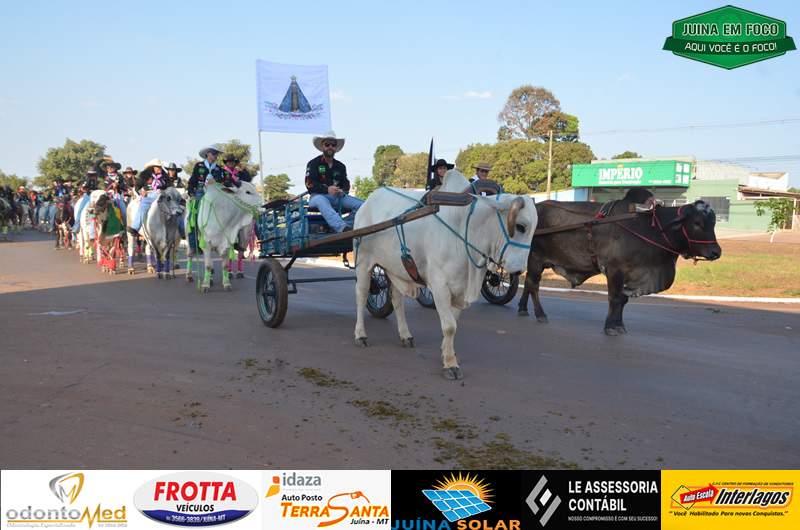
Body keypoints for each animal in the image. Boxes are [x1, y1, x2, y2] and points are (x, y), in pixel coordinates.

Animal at [353, 170, 537, 380]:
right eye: (521, 226)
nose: (519, 269)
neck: (464, 229)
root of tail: (366, 203)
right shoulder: (440, 286)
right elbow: (449, 326)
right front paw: (450, 364)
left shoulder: (459, 290)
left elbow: (453, 324)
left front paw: (446, 353)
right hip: (364, 263)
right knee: (361, 295)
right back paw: (360, 335)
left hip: (395, 269)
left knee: (396, 300)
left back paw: (405, 335)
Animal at [517, 188, 722, 335]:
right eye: (697, 223)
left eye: (713, 222)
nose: (716, 252)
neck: (649, 228)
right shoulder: (615, 270)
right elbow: (614, 298)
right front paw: (610, 326)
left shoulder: (630, 276)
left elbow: (623, 300)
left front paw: (620, 325)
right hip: (535, 259)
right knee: (533, 286)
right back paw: (540, 314)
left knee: (527, 283)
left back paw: (522, 309)